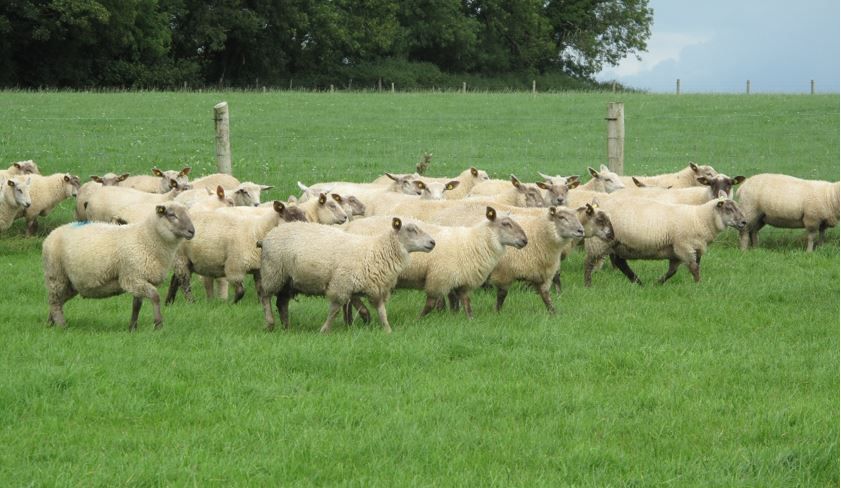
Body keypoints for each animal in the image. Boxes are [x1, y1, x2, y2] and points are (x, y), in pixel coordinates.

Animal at [42, 202, 195, 331]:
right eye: (172, 215)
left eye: (188, 214)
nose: (192, 231)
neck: (146, 238)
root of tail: (52, 233)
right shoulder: (131, 277)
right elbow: (155, 296)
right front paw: (158, 324)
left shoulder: (139, 278)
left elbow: (136, 305)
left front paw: (132, 327)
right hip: (56, 274)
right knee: (55, 300)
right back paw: (62, 326)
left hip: (71, 282)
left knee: (59, 300)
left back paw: (50, 323)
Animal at [165, 201, 305, 305]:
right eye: (292, 218)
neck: (257, 231)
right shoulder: (234, 266)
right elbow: (240, 291)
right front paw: (232, 304)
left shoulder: (258, 270)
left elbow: (260, 290)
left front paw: (261, 304)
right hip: (180, 257)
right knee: (184, 282)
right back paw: (191, 302)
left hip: (185, 261)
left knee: (175, 279)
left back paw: (169, 302)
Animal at [259, 217, 436, 333]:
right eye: (411, 230)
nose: (433, 242)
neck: (376, 251)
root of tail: (267, 236)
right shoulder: (341, 286)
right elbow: (334, 311)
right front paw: (324, 330)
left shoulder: (375, 289)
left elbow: (382, 312)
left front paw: (387, 330)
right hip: (273, 272)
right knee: (265, 296)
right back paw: (270, 324)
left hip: (288, 280)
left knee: (282, 302)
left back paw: (286, 327)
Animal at [345, 207, 528, 319]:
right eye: (506, 224)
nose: (525, 240)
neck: (472, 243)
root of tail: (348, 227)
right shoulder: (438, 278)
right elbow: (431, 304)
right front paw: (418, 320)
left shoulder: (460, 281)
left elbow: (466, 304)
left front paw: (469, 320)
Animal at [583, 196, 746, 285]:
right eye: (729, 209)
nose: (744, 222)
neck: (700, 218)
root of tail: (597, 206)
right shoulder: (684, 247)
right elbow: (694, 268)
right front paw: (699, 285)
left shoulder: (680, 251)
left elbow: (672, 272)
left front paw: (658, 283)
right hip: (599, 243)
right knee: (589, 264)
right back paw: (588, 284)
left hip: (618, 245)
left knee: (620, 263)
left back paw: (638, 282)